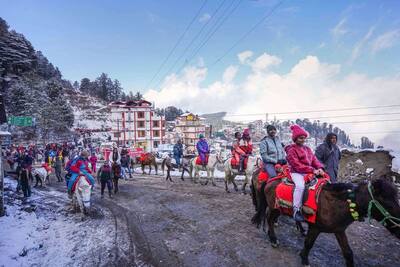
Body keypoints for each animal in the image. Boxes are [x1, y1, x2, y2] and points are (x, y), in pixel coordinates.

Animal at [253, 179, 400, 266]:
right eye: (387, 203)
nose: (399, 229)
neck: (340, 203)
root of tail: (271, 181)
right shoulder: (315, 228)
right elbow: (309, 243)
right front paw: (304, 259)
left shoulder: (339, 230)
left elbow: (348, 253)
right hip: (275, 208)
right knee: (269, 219)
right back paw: (273, 240)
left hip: (278, 209)